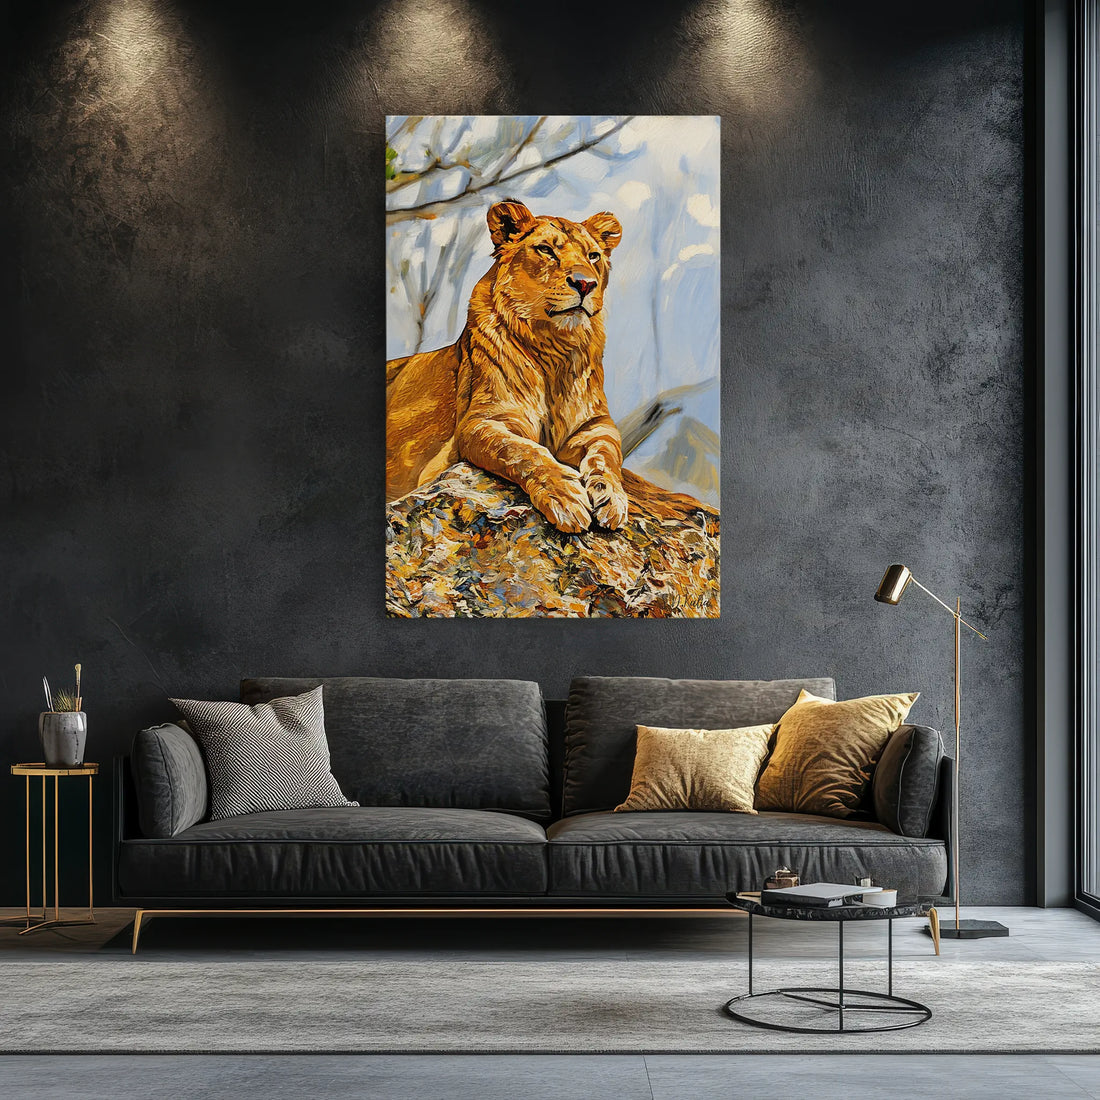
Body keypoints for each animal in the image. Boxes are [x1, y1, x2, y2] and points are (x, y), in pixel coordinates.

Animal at [386, 200, 711, 534]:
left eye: (593, 256)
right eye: (546, 250)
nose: (585, 283)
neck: (555, 349)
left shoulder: (595, 425)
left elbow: (608, 457)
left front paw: (612, 498)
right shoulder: (479, 423)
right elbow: (522, 451)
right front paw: (565, 497)